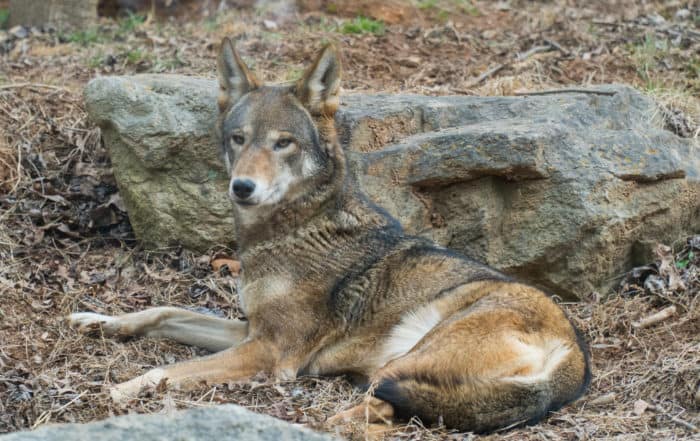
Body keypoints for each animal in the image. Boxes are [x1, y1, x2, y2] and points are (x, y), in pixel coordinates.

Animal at [69, 37, 590, 434]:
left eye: (284, 143)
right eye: (239, 139)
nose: (242, 187)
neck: (290, 231)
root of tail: (577, 356)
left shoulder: (272, 352)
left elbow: (165, 369)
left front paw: (119, 390)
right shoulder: (251, 330)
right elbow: (162, 313)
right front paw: (97, 321)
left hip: (403, 360)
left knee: (379, 409)